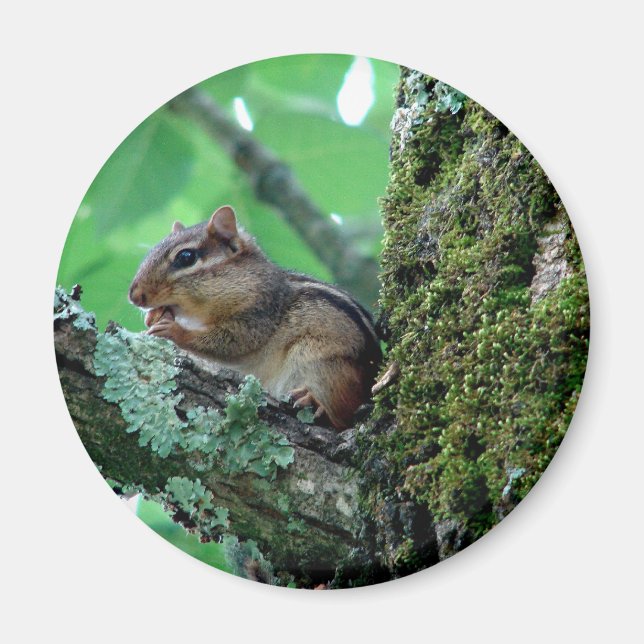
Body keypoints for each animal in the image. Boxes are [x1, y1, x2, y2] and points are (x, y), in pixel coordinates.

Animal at [128, 205, 381, 430]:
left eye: (186, 257)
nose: (134, 296)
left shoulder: (259, 314)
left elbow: (232, 342)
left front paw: (173, 330)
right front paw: (153, 317)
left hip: (321, 364)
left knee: (342, 416)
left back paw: (314, 401)